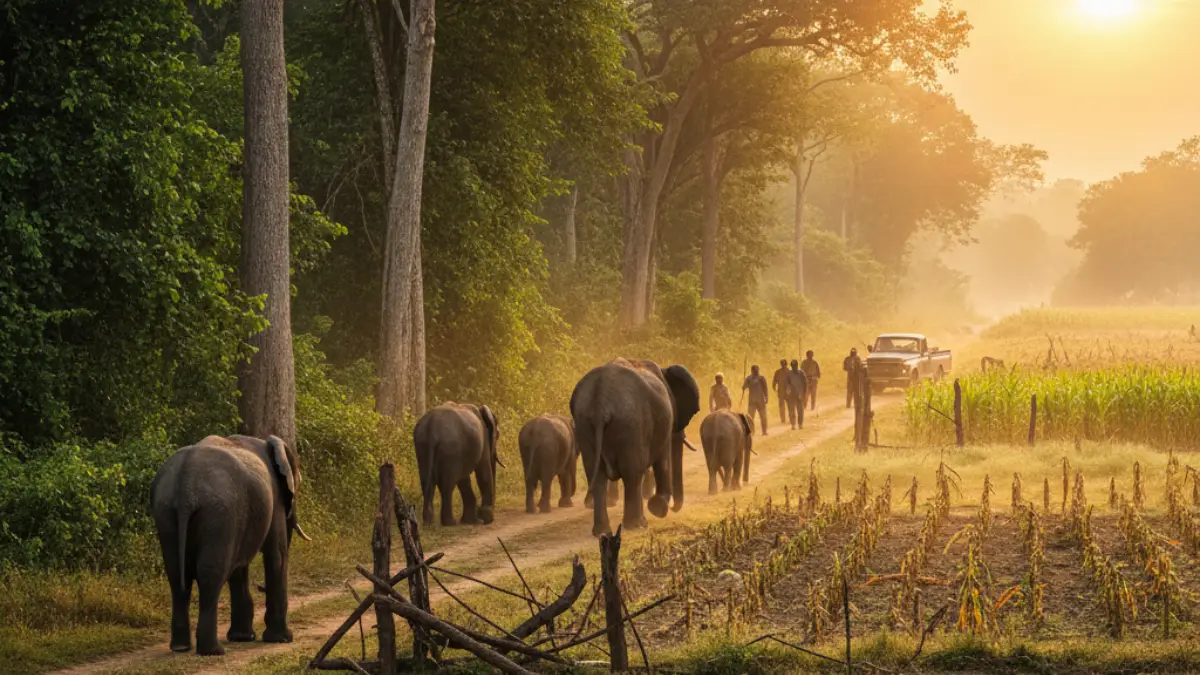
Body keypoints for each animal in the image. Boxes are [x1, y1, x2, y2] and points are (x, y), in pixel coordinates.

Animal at [150, 434, 310, 656]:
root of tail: (186, 486)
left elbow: (238, 566)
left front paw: (243, 638)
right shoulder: (275, 500)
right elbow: (276, 554)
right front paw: (282, 639)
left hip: (166, 511)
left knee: (176, 575)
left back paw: (181, 647)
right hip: (219, 512)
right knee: (211, 575)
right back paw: (212, 650)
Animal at [570, 358, 701, 536]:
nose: (675, 508)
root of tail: (601, 405)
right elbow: (662, 459)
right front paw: (658, 508)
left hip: (585, 424)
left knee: (597, 477)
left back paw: (603, 532)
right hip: (631, 424)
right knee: (632, 473)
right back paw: (636, 525)